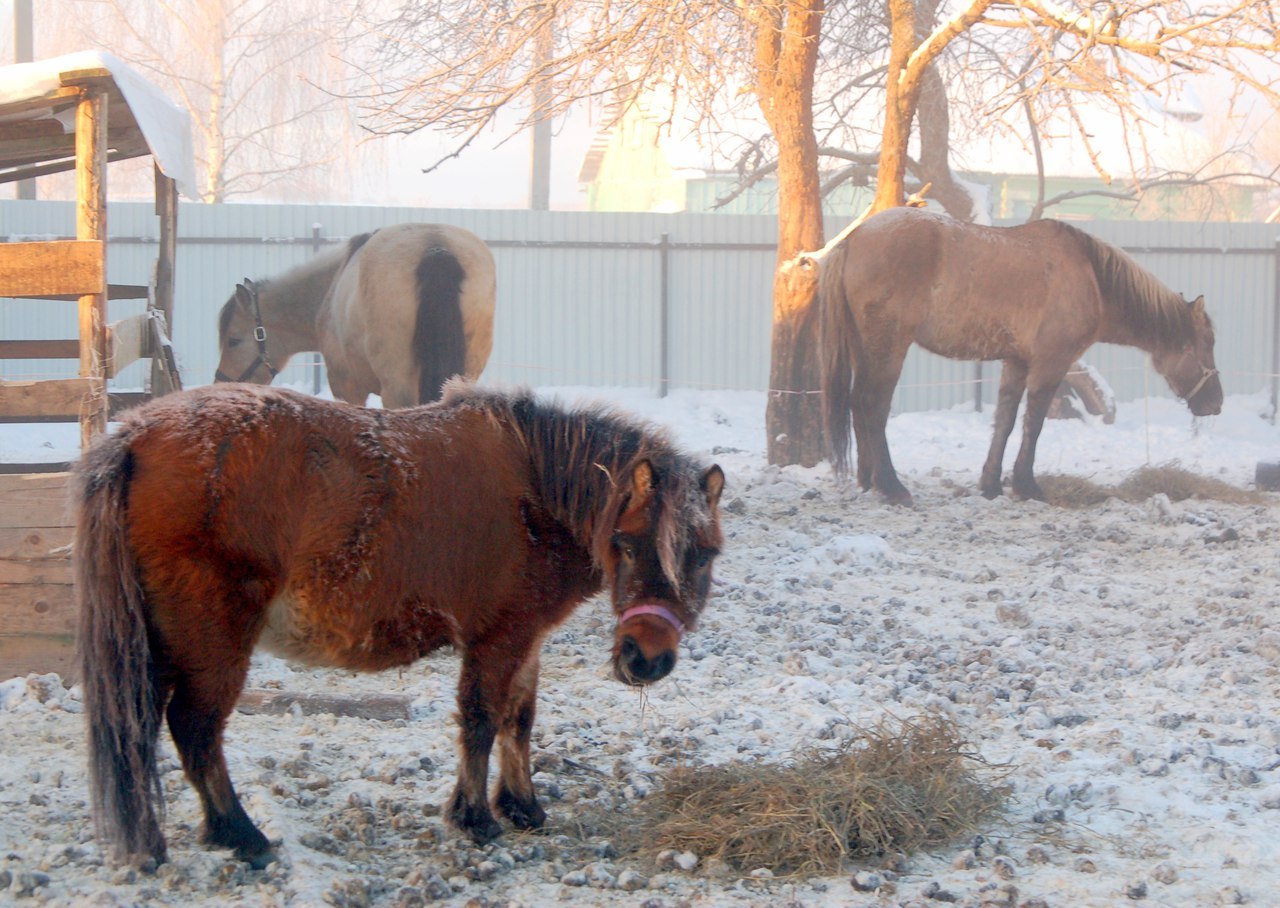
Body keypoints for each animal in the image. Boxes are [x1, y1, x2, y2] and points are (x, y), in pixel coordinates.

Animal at [74, 379, 727, 865]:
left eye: (707, 554)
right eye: (626, 544)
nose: (647, 659)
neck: (538, 491)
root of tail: (135, 436)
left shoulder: (528, 639)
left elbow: (519, 721)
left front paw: (523, 808)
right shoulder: (499, 636)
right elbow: (482, 720)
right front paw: (475, 819)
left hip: (164, 643)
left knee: (151, 730)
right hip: (211, 641)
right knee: (195, 729)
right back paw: (242, 835)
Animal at [814, 207, 1223, 502]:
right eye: (1208, 342)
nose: (1215, 403)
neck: (1090, 277)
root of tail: (855, 240)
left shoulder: (1016, 362)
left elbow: (1005, 422)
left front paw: (991, 484)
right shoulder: (1050, 364)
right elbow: (1034, 423)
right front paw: (1027, 485)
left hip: (865, 349)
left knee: (858, 404)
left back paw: (868, 480)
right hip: (889, 349)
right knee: (873, 407)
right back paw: (892, 486)